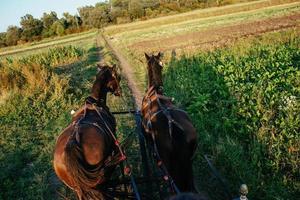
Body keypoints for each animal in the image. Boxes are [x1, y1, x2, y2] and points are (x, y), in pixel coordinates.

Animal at [54, 63, 123, 198]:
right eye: (118, 77)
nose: (119, 92)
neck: (95, 102)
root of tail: (72, 143)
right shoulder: (114, 137)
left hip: (78, 188)